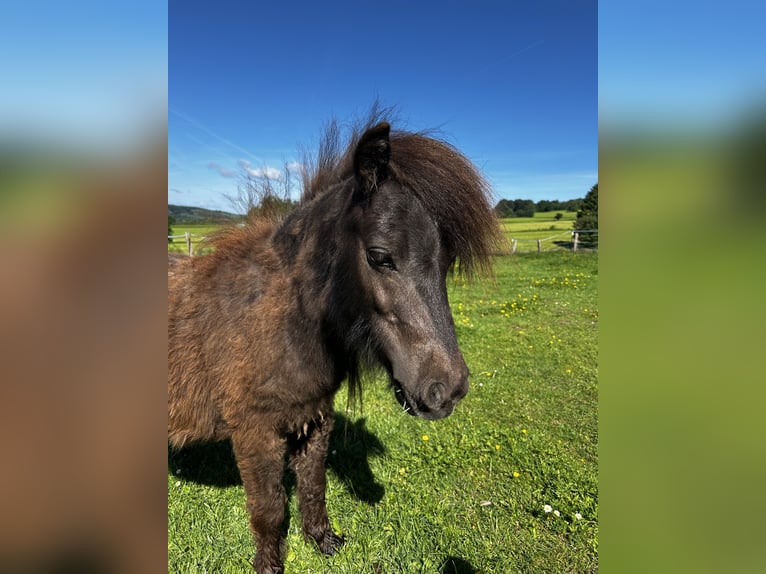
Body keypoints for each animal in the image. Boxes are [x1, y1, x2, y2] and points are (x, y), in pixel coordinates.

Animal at [168, 116, 503, 573]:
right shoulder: (255, 431)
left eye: (446, 260)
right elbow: (269, 507)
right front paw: (270, 565)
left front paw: (323, 541)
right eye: (379, 256)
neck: (283, 322)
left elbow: (314, 485)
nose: (447, 390)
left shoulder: (314, 418)